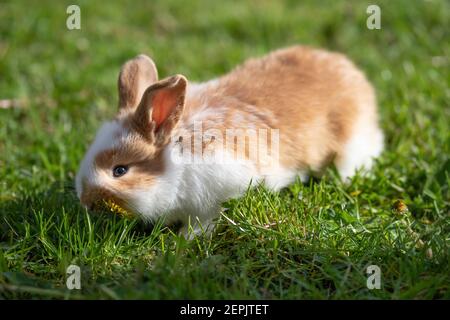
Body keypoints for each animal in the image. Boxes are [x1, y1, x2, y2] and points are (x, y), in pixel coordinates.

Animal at [74, 45, 384, 235]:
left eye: (120, 171)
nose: (85, 201)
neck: (177, 161)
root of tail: (350, 71)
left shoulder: (218, 194)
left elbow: (205, 221)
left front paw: (185, 239)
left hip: (350, 144)